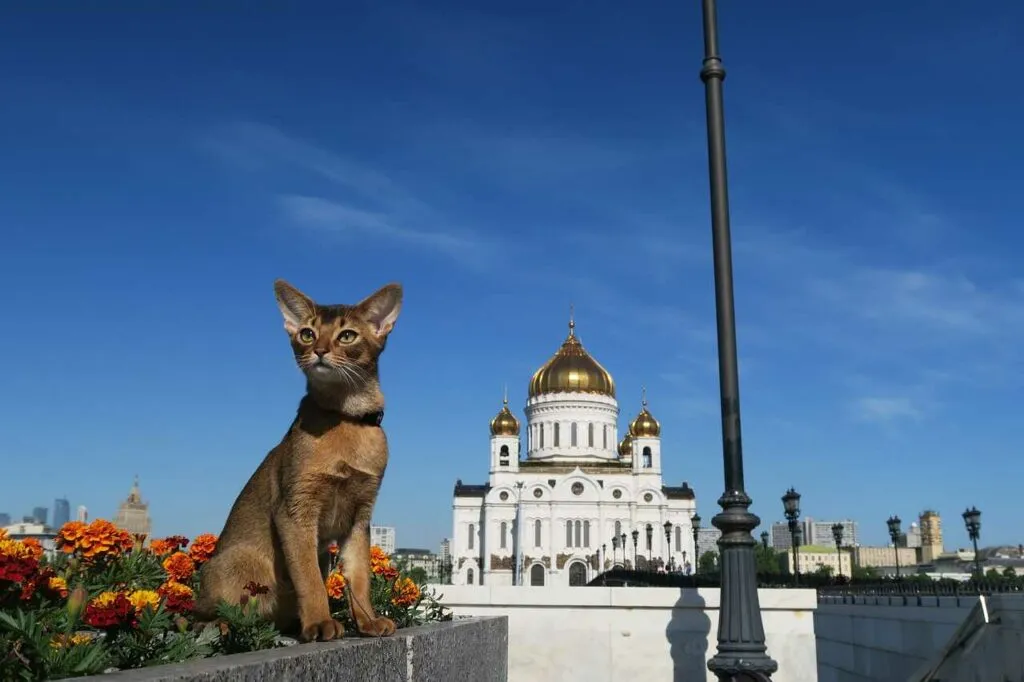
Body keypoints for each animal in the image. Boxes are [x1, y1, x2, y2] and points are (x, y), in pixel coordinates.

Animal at [193, 276, 401, 638]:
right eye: (307, 333)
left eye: (347, 335)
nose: (319, 350)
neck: (346, 419)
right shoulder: (295, 510)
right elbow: (309, 578)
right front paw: (319, 622)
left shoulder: (359, 516)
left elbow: (359, 576)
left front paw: (367, 621)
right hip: (236, 563)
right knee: (195, 617)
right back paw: (224, 624)